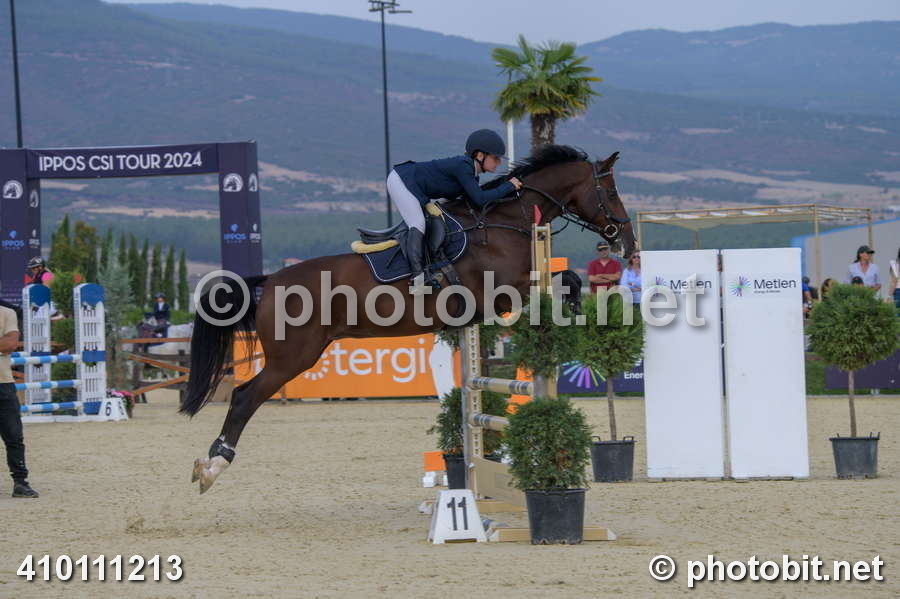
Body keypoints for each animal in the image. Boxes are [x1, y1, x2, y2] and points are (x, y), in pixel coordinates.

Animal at [183, 145, 636, 493]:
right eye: (611, 191)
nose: (626, 243)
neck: (509, 222)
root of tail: (271, 280)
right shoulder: (506, 290)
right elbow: (567, 278)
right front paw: (572, 309)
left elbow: (566, 277)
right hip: (293, 356)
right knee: (245, 397)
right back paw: (213, 466)